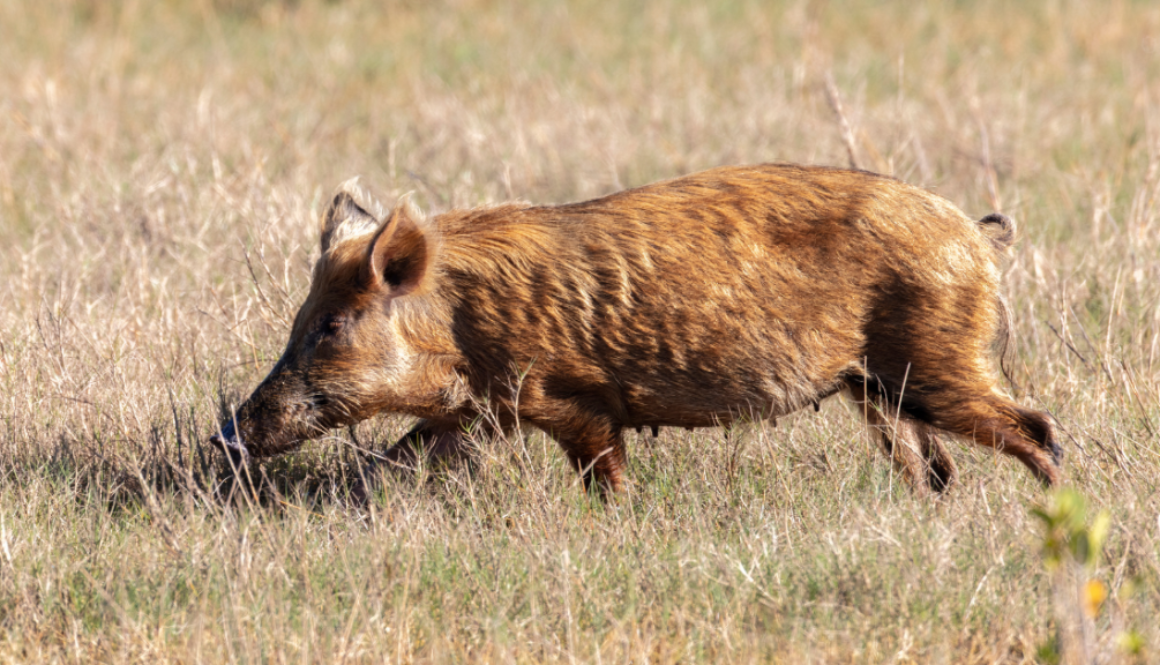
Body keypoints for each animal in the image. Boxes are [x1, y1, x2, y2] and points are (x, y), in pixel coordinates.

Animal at [211, 163, 1061, 497]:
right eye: (300, 320)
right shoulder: (483, 412)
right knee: (934, 467)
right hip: (878, 387)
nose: (228, 435)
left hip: (939, 357)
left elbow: (604, 472)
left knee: (1037, 427)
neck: (458, 323)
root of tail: (977, 236)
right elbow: (403, 454)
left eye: (331, 324)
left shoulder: (566, 398)